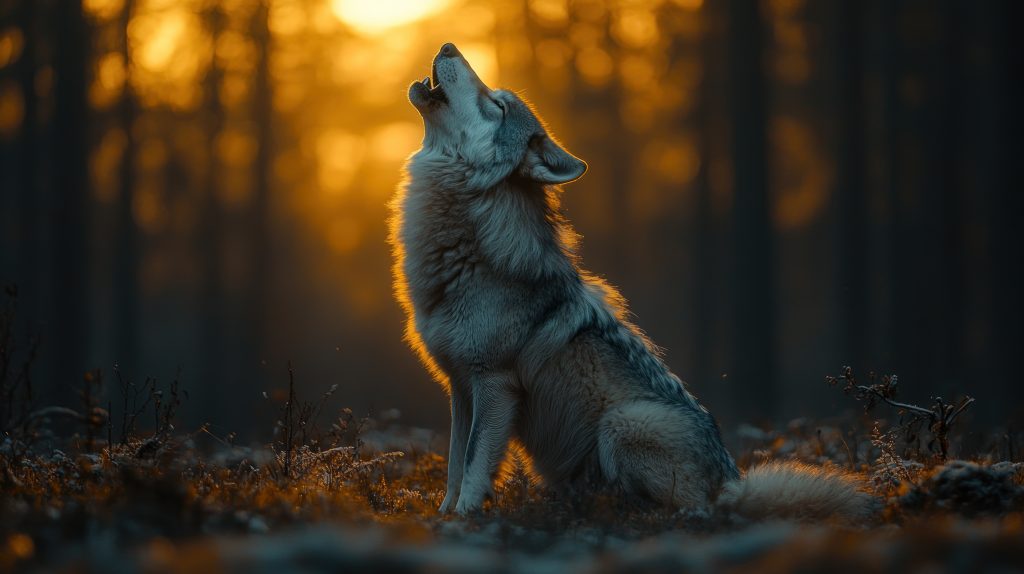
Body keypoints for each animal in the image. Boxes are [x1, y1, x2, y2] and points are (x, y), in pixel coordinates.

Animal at [389, 43, 873, 521]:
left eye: (498, 104)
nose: (448, 45)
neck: (465, 251)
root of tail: (730, 483)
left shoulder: (493, 384)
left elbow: (474, 463)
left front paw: (465, 517)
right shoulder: (460, 387)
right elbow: (454, 462)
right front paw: (442, 514)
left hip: (622, 423)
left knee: (689, 508)